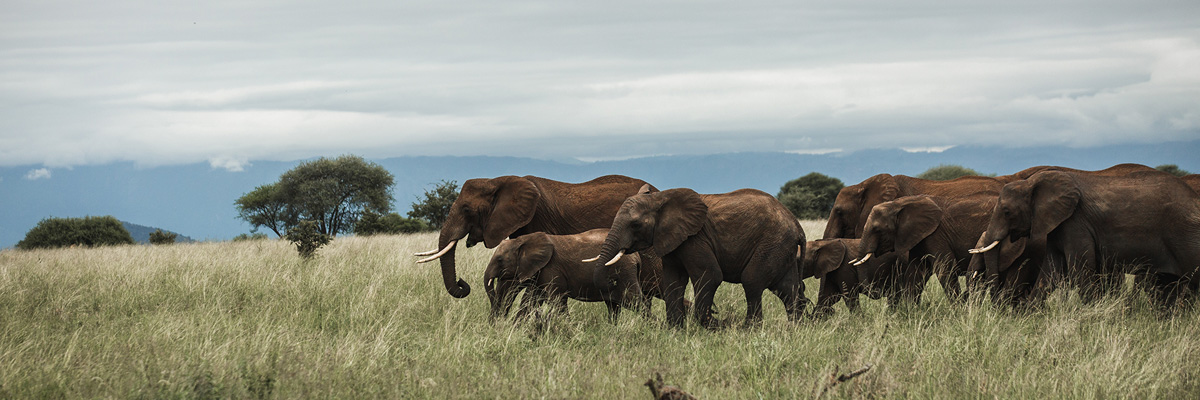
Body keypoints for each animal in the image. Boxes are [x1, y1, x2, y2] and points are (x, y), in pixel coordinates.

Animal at [482, 229, 648, 321]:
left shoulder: (552, 268)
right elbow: (530, 301)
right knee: (614, 307)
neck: (524, 240)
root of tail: (637, 257)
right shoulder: (541, 273)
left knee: (635, 303)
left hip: (625, 272)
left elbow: (557, 300)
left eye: (500, 260)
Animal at [583, 187, 801, 326]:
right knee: (787, 288)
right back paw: (796, 328)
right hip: (782, 248)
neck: (660, 198)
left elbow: (710, 275)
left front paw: (714, 326)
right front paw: (674, 329)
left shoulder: (695, 238)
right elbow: (673, 280)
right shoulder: (672, 240)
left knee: (752, 280)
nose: (612, 282)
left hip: (773, 243)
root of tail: (796, 225)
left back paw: (749, 328)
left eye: (635, 224)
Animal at [849, 192, 998, 303]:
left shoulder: (936, 234)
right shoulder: (916, 237)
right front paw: (909, 313)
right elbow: (916, 272)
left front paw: (958, 310)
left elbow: (945, 269)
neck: (898, 204)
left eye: (877, 229)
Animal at [969, 169, 1200, 307]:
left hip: (1186, 234)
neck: (1031, 183)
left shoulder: (1076, 223)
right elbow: (1051, 271)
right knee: (1169, 286)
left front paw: (1091, 316)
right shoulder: (1058, 225)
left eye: (1007, 212)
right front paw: (1030, 316)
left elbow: (1079, 270)